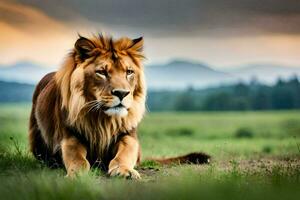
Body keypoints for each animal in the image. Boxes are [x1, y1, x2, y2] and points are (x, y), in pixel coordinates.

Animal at [29, 33, 210, 179]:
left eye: (129, 72)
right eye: (102, 72)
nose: (122, 93)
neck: (103, 119)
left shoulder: (128, 136)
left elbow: (125, 154)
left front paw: (124, 170)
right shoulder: (70, 137)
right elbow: (77, 158)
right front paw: (77, 173)